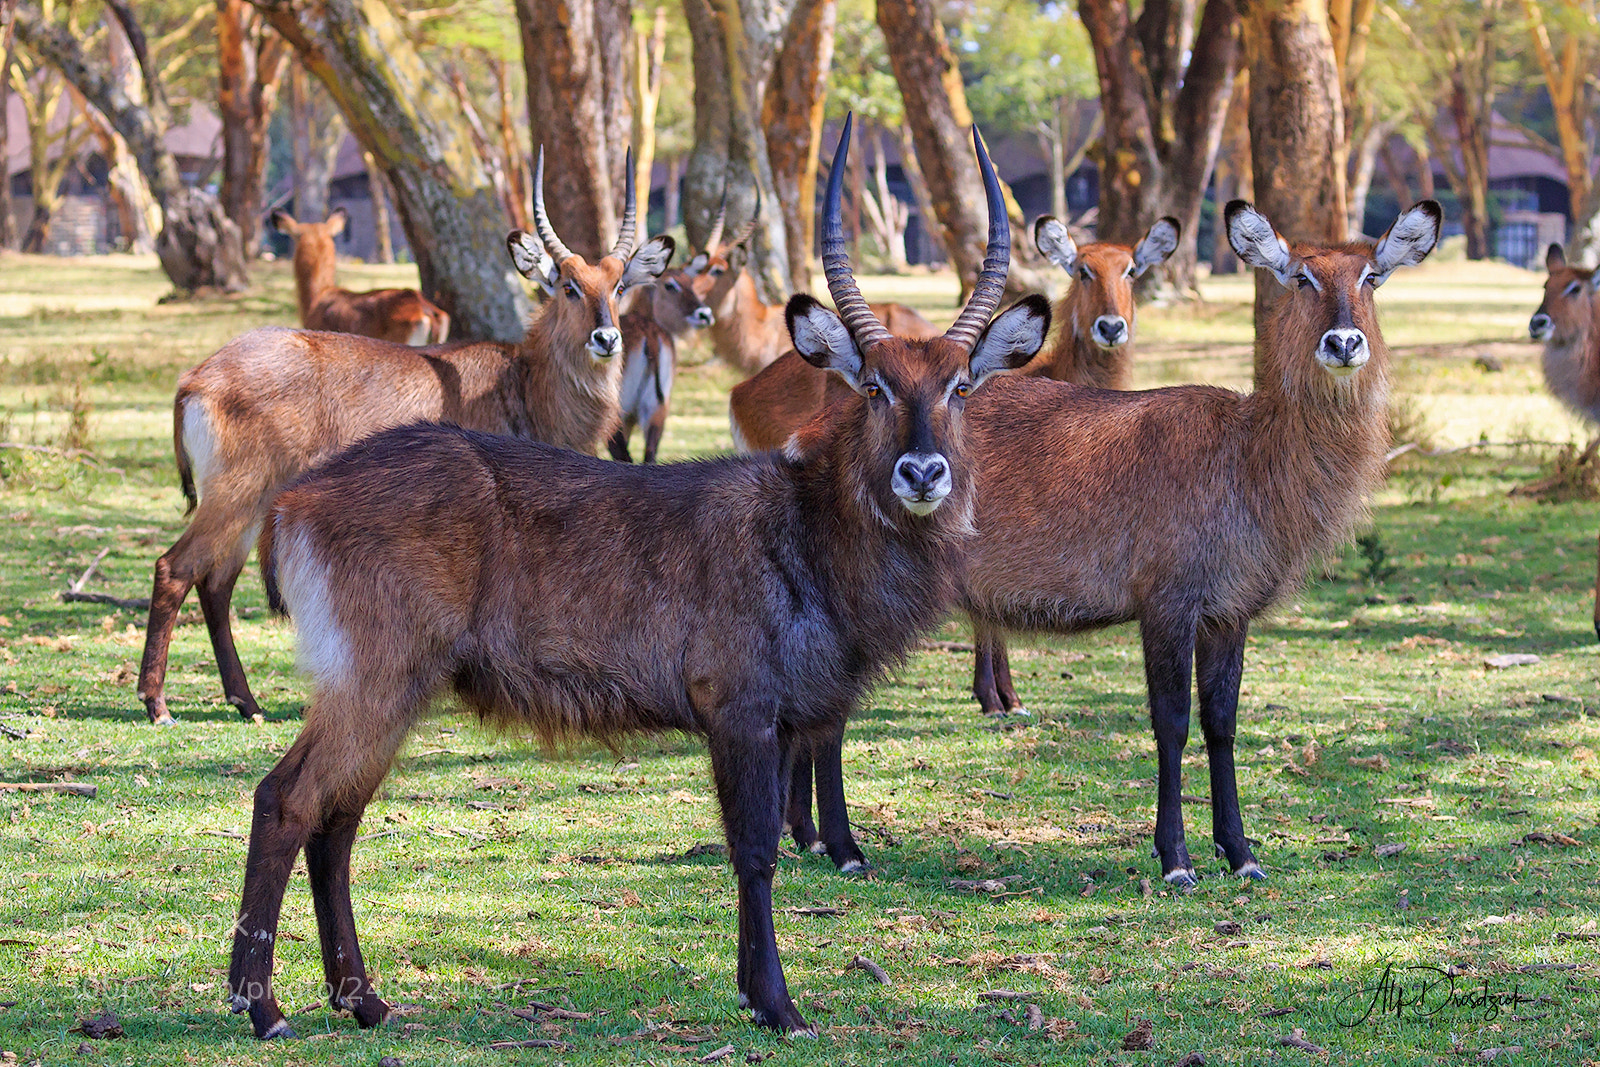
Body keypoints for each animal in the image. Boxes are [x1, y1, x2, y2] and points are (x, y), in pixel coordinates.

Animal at [791, 199, 1443, 884]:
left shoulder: (1229, 612)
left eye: (1371, 277)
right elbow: (1172, 723)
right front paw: (1176, 860)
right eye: (1300, 278)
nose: (1343, 342)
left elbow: (1222, 722)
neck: (1251, 453)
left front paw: (1241, 854)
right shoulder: (1167, 605)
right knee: (830, 707)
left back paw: (806, 836)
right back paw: (842, 847)